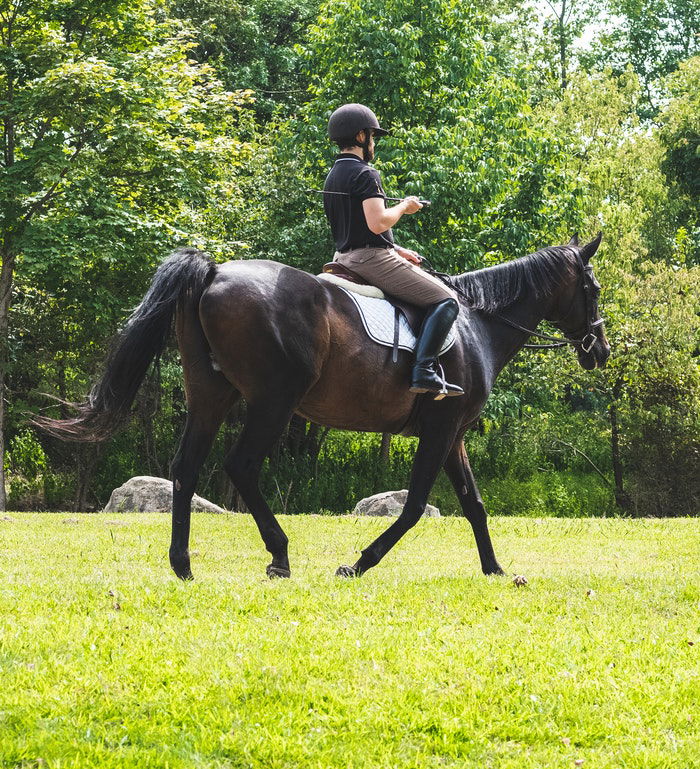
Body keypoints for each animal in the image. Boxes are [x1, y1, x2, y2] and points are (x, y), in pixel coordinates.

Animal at [37, 231, 608, 580]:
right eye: (595, 288)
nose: (599, 351)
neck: (476, 325)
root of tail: (216, 272)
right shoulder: (441, 429)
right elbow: (416, 506)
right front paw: (359, 564)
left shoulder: (454, 435)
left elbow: (474, 505)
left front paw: (494, 569)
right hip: (274, 400)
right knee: (241, 466)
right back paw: (279, 555)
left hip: (211, 395)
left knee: (186, 466)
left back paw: (182, 564)